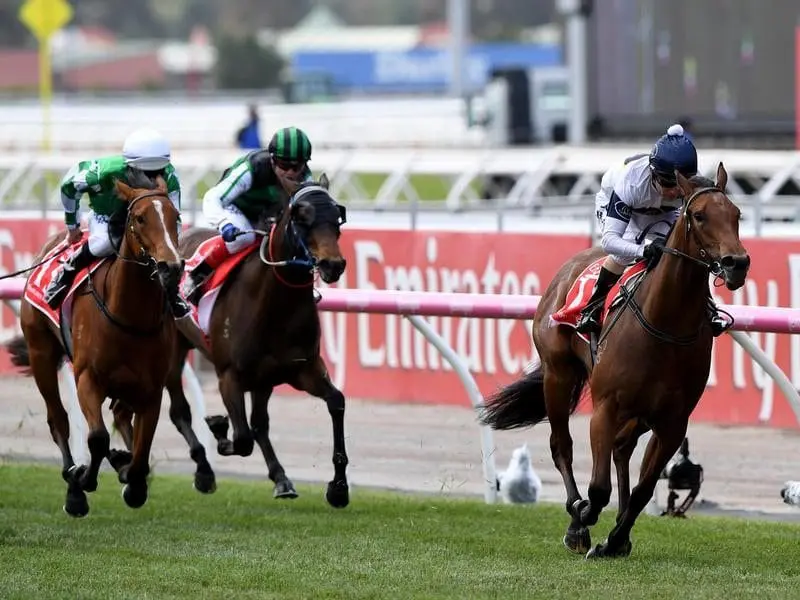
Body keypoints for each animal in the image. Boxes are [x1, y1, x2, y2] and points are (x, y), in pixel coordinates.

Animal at [6, 173, 184, 516]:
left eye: (176, 218)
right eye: (140, 218)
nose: (171, 266)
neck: (130, 317)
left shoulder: (151, 390)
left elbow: (143, 449)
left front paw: (133, 480)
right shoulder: (88, 377)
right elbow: (97, 437)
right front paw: (82, 480)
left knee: (119, 414)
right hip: (40, 353)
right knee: (59, 420)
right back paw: (73, 483)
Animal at [151, 178, 350, 506]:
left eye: (337, 217)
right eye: (301, 217)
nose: (333, 264)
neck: (277, 307)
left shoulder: (302, 370)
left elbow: (336, 402)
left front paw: (338, 487)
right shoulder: (229, 377)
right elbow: (241, 438)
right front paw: (219, 429)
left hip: (262, 380)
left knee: (259, 424)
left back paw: (281, 479)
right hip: (173, 351)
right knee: (179, 411)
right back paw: (203, 470)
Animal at [482, 164, 752, 556]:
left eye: (736, 214)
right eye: (700, 216)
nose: (737, 264)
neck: (664, 324)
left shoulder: (673, 421)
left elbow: (644, 489)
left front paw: (616, 538)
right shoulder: (606, 407)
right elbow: (597, 488)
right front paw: (584, 520)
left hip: (639, 412)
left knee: (622, 448)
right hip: (558, 374)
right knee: (562, 446)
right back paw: (576, 518)